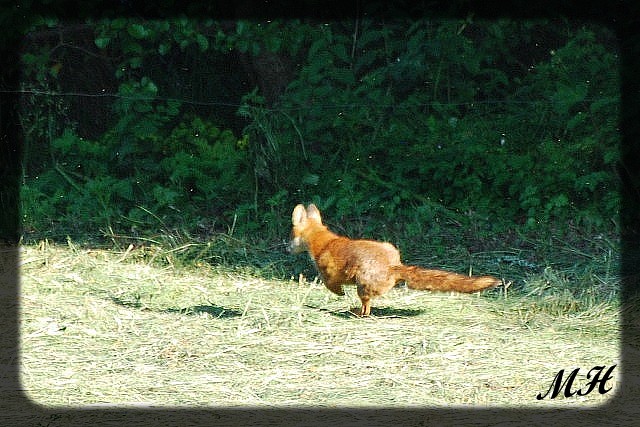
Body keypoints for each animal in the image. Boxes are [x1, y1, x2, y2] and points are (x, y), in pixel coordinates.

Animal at [288, 204, 500, 318]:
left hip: (362, 287)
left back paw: (354, 312)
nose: (286, 248)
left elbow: (331, 286)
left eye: (291, 236)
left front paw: (339, 294)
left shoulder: (329, 273)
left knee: (366, 309)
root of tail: (393, 266)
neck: (325, 243)